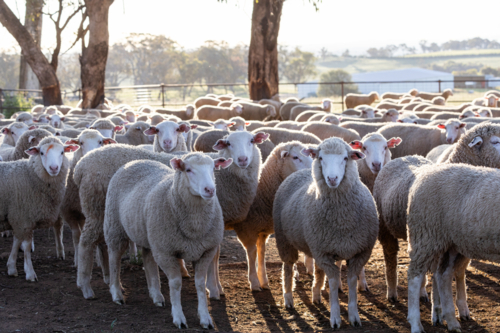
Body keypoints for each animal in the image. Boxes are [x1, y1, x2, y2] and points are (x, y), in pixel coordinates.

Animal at [0, 136, 79, 278]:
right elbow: (25, 246)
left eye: (62, 152)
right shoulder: (23, 216)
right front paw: (30, 273)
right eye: (41, 153)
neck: (30, 175)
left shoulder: (19, 217)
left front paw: (12, 267)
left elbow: (16, 242)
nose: (54, 168)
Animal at [60, 129, 116, 264]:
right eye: (81, 143)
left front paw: (99, 260)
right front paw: (76, 259)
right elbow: (76, 235)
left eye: (100, 142)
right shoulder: (68, 212)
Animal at [231, 141, 312, 290]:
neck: (261, 189)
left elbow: (262, 252)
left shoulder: (263, 231)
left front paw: (263, 280)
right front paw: (254, 282)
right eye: (295, 157)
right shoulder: (246, 229)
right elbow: (252, 253)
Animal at [274, 137, 378, 326]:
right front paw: (335, 317)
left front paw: (354, 316)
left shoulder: (359, 252)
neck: (342, 220)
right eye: (321, 158)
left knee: (317, 271)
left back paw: (316, 296)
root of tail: (302, 172)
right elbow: (334, 282)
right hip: (284, 240)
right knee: (288, 267)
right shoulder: (325, 253)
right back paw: (288, 299)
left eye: (345, 158)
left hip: (316, 246)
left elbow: (351, 281)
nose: (332, 178)